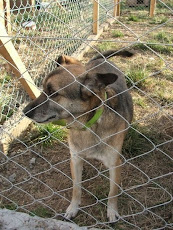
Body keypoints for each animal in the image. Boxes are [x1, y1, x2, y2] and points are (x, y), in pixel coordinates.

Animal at [23, 49, 134, 223]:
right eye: (43, 89)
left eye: (53, 93)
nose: (25, 112)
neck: (87, 125)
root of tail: (100, 60)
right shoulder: (75, 159)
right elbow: (76, 188)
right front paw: (73, 207)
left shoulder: (115, 164)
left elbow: (112, 192)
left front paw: (112, 210)